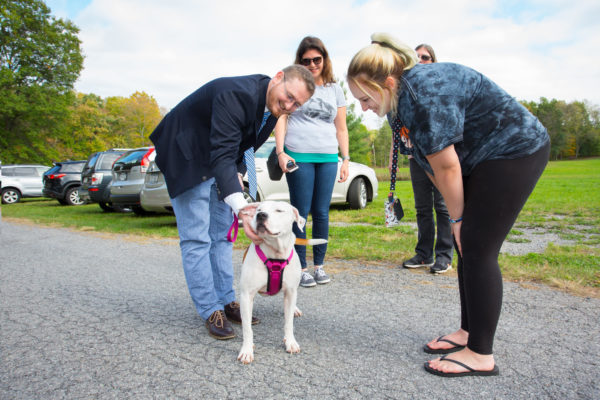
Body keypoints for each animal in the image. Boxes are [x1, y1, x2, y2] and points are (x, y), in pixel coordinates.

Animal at [237, 202, 326, 364]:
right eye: (259, 209)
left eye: (279, 210)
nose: (261, 215)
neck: (275, 253)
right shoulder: (247, 295)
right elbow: (247, 328)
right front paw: (246, 350)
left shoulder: (290, 292)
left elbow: (288, 323)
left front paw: (290, 342)